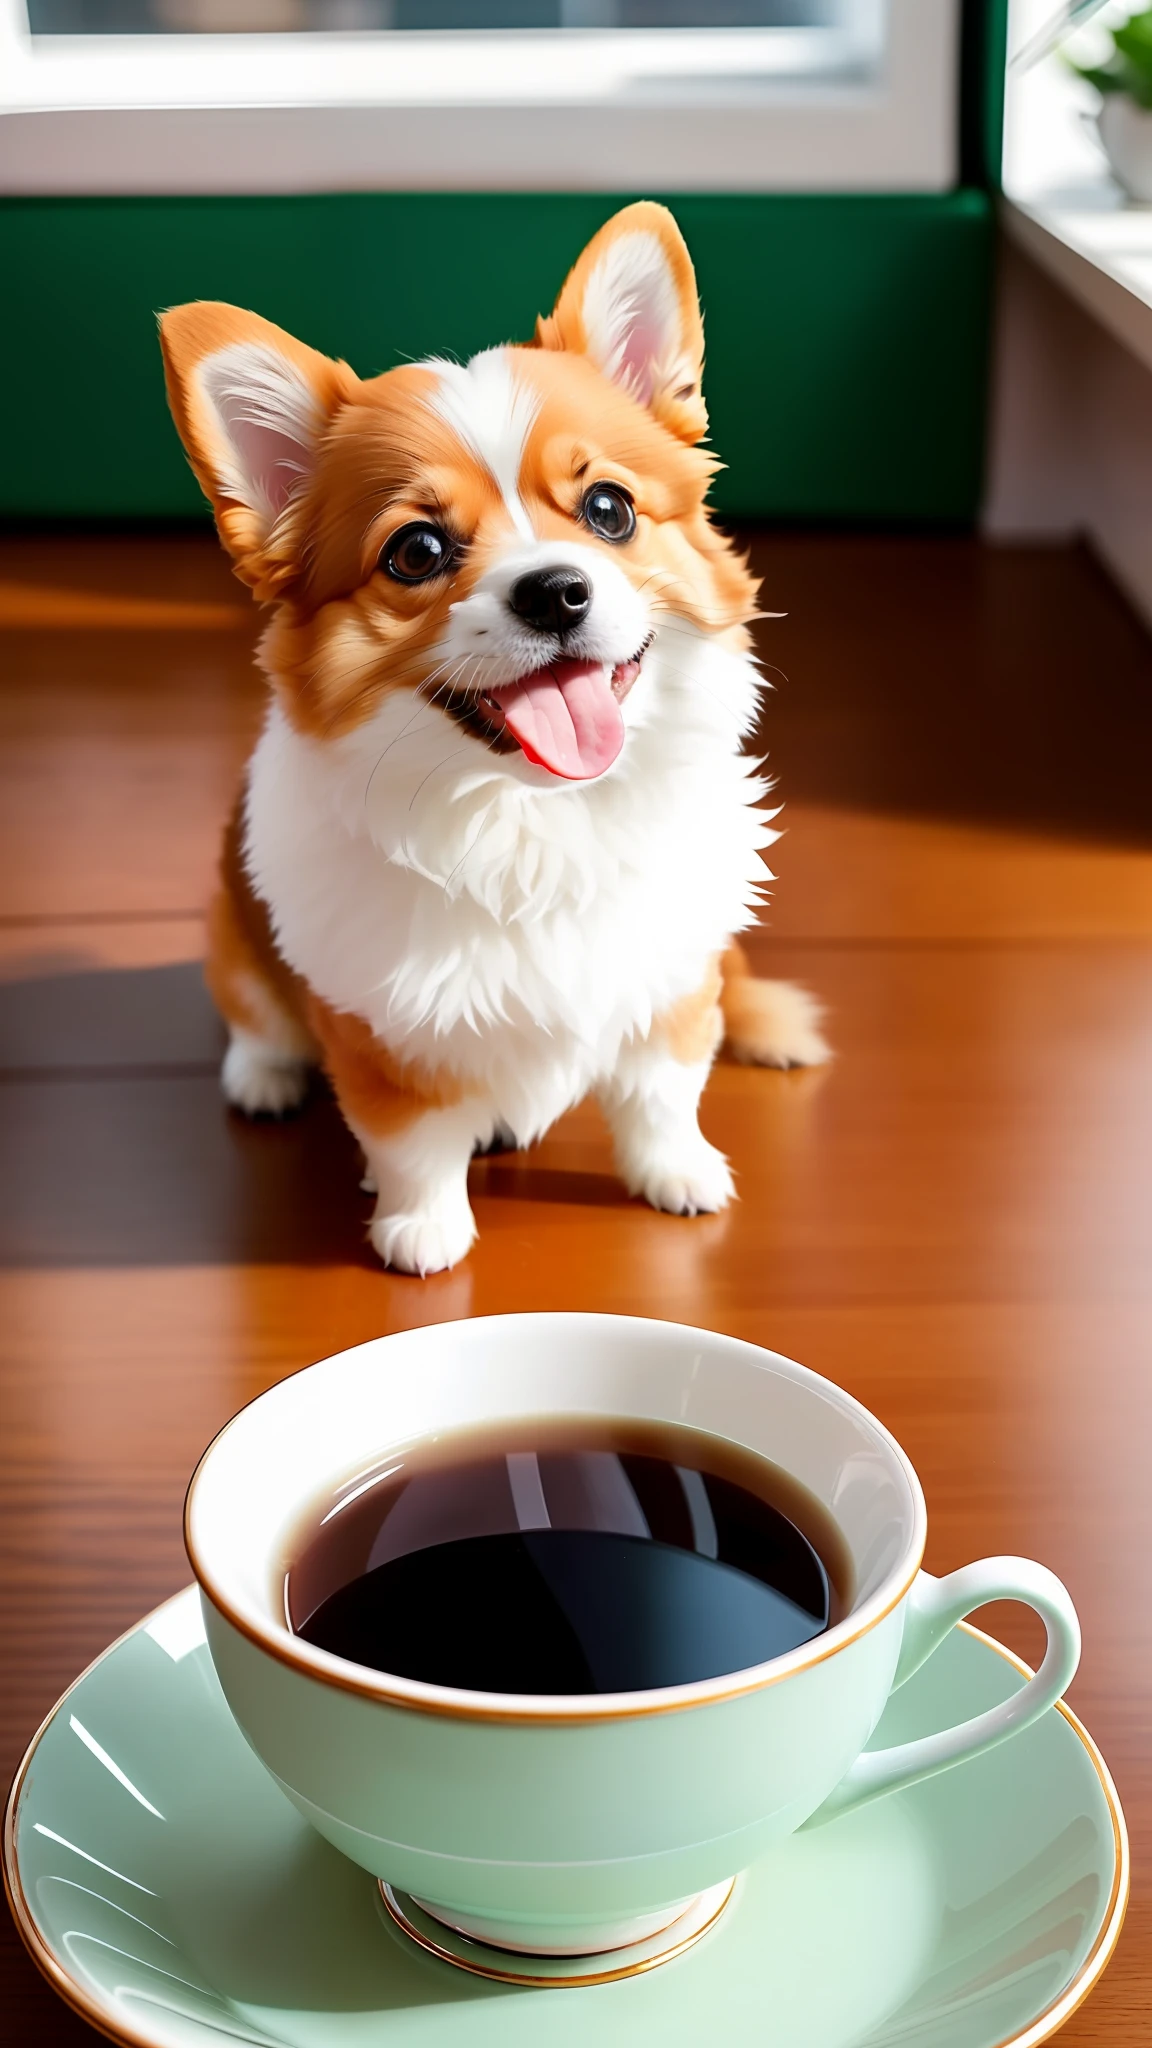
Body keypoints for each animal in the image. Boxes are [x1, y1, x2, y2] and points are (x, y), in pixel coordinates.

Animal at [158, 199, 824, 1269]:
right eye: (416, 551)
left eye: (610, 508)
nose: (555, 590)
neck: (538, 819)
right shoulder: (380, 1034)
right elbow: (413, 1141)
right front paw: (422, 1232)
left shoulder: (671, 990)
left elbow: (661, 1095)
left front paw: (676, 1176)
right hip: (232, 930)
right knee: (255, 1017)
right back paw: (264, 1078)